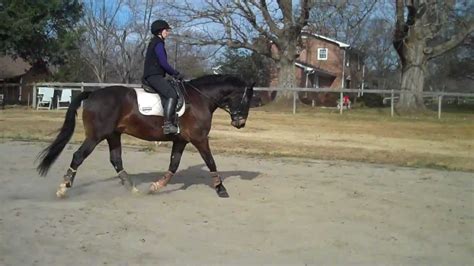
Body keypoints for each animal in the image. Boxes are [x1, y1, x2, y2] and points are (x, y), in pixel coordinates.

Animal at [36, 74, 256, 197]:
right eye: (247, 99)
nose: (240, 123)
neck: (199, 98)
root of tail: (93, 94)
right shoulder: (199, 139)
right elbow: (211, 162)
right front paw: (221, 189)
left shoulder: (181, 140)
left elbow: (174, 164)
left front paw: (156, 186)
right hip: (96, 136)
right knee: (78, 156)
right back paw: (63, 188)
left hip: (113, 135)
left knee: (116, 160)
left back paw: (132, 188)